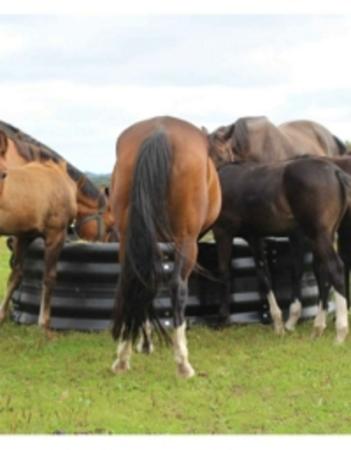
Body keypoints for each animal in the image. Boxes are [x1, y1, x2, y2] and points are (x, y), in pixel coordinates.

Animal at [0, 161, 77, 326]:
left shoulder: (24, 236)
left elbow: (15, 275)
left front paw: (1, 315)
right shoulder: (55, 235)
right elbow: (49, 277)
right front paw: (43, 322)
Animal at [110, 115, 221, 376]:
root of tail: (159, 131)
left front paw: (144, 342)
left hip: (128, 239)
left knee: (134, 280)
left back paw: (123, 356)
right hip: (186, 241)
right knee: (177, 288)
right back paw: (183, 362)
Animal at [213, 156, 350, 342]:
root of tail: (335, 172)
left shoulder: (223, 233)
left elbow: (224, 273)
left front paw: (222, 318)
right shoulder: (254, 237)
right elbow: (264, 276)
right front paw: (278, 324)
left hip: (319, 236)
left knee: (335, 269)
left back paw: (340, 333)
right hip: (322, 237)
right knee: (324, 274)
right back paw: (318, 328)